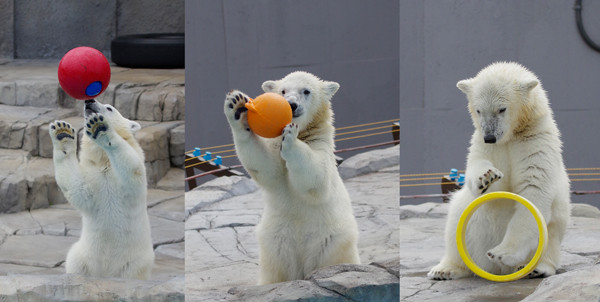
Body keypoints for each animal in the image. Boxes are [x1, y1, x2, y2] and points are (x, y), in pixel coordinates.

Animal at [49, 99, 155, 280]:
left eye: (109, 108)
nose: (89, 101)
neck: (104, 160)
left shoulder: (130, 176)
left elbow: (132, 170)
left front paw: (100, 128)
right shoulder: (92, 174)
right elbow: (78, 188)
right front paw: (62, 132)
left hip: (135, 264)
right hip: (82, 258)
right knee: (75, 263)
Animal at [223, 71, 358, 286]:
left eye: (306, 91)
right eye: (283, 91)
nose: (291, 104)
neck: (305, 132)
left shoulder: (321, 145)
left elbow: (317, 178)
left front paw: (290, 137)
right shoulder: (274, 154)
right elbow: (266, 166)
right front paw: (236, 106)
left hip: (332, 243)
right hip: (276, 245)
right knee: (275, 273)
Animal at [428, 62, 568, 280]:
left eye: (501, 109)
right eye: (478, 110)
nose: (490, 136)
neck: (513, 135)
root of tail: (492, 270)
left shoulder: (536, 141)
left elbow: (533, 190)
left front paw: (502, 253)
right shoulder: (484, 144)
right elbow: (479, 168)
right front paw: (487, 177)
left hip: (553, 232)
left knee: (551, 237)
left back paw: (536, 268)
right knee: (455, 219)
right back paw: (444, 269)